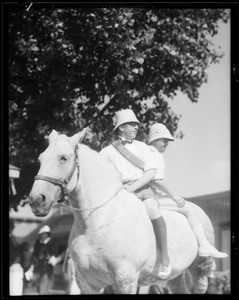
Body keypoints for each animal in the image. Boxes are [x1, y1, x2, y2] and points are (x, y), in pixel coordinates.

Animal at [28, 128, 215, 292]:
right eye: (40, 159)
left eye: (64, 158)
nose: (37, 200)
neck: (97, 223)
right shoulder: (87, 283)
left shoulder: (127, 279)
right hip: (176, 275)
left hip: (200, 271)